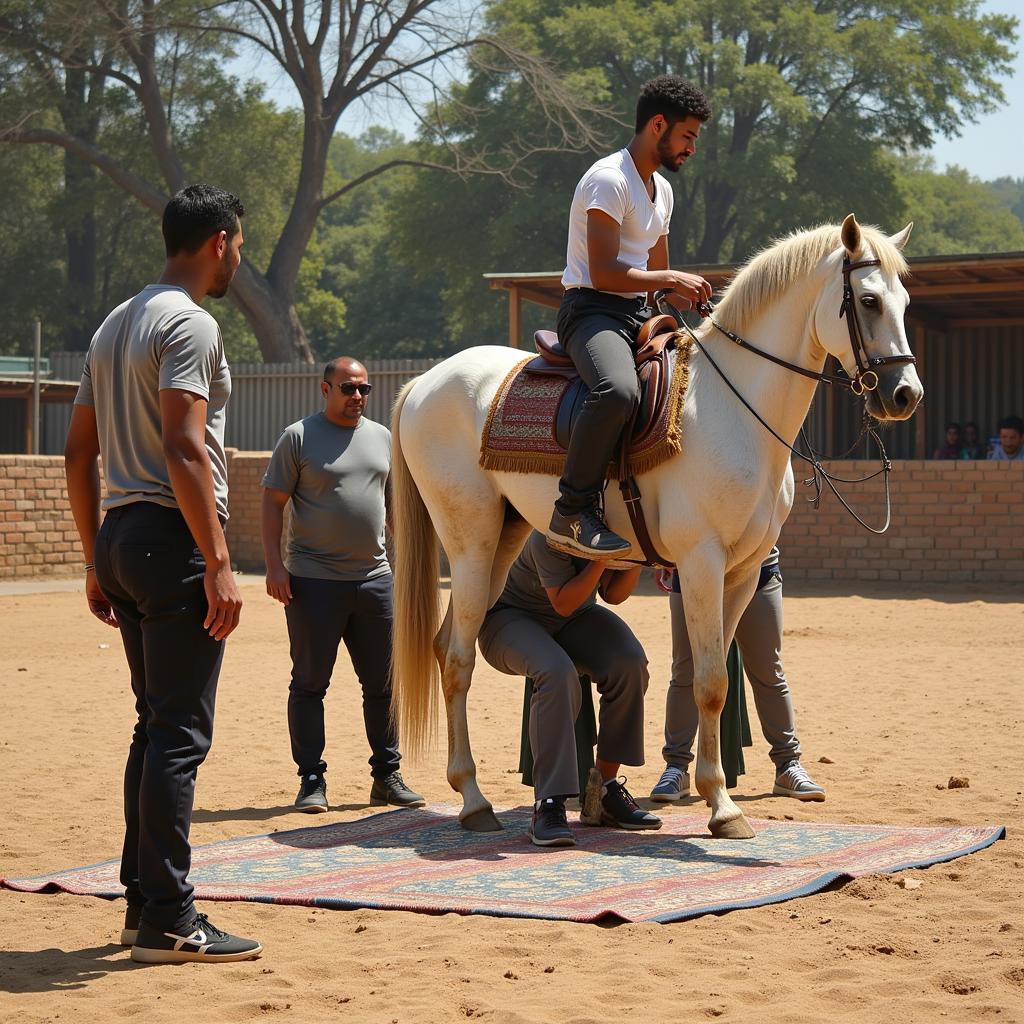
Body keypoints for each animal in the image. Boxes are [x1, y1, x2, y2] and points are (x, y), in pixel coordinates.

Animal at [389, 216, 921, 839]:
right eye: (868, 300)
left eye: (905, 302)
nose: (905, 395)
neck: (733, 408)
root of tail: (425, 383)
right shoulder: (701, 563)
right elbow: (711, 684)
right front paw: (723, 806)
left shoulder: (741, 572)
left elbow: (713, 681)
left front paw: (715, 799)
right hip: (469, 543)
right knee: (457, 661)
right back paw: (473, 801)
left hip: (505, 538)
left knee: (447, 644)